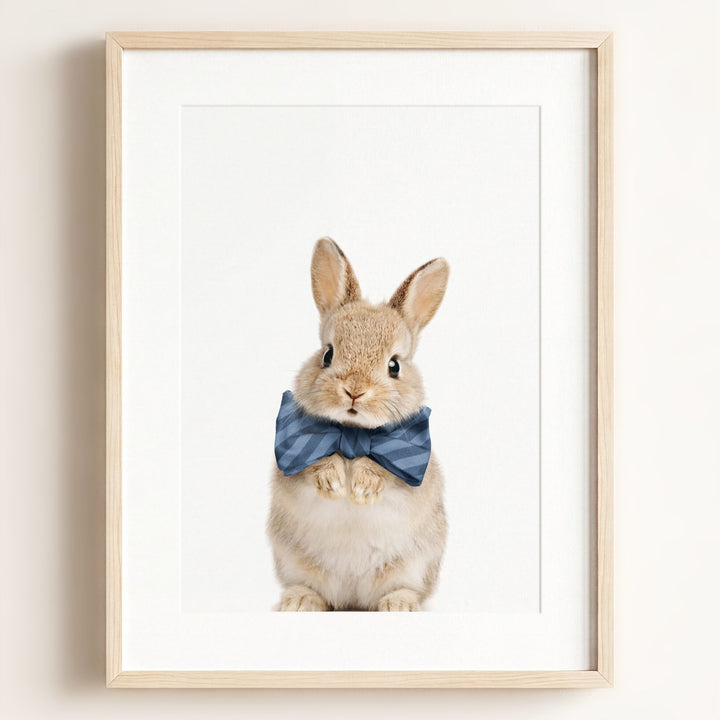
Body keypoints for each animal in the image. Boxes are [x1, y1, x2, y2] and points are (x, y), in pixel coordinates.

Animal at [267, 237, 449, 611]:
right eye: (327, 354)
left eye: (394, 366)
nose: (354, 390)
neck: (352, 434)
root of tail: (352, 598)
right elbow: (315, 462)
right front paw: (334, 484)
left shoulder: (411, 465)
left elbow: (386, 472)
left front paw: (362, 488)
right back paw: (299, 601)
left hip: (414, 565)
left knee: (403, 589)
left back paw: (400, 605)